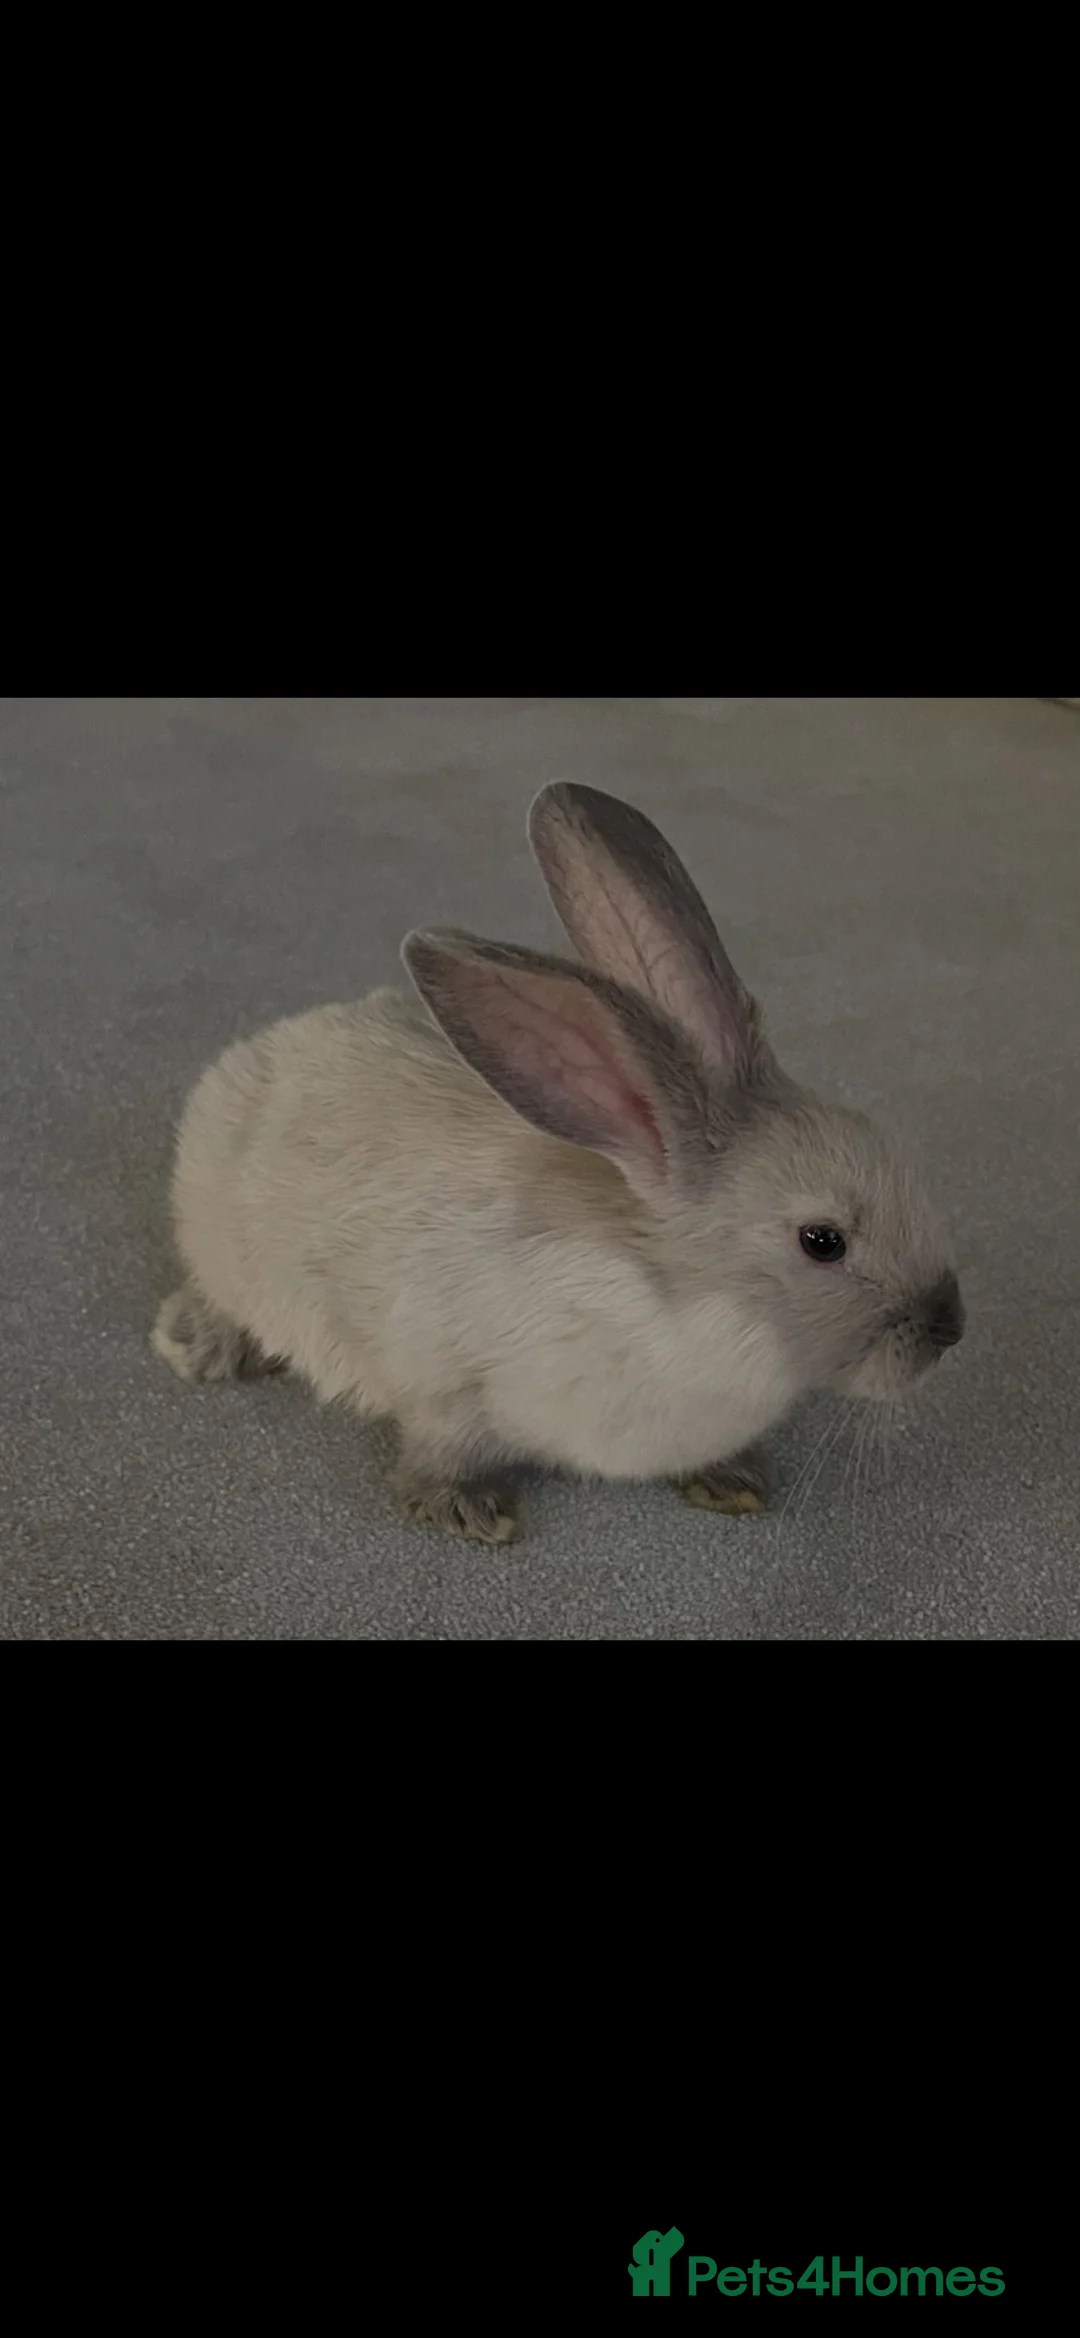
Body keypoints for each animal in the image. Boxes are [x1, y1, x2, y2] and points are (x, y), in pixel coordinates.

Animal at [151, 780, 964, 1544]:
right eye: (822, 1242)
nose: (948, 1327)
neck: (695, 1306)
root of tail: (262, 1046)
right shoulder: (451, 1384)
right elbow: (439, 1450)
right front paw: (470, 1512)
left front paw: (732, 1483)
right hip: (228, 1251)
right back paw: (198, 1346)